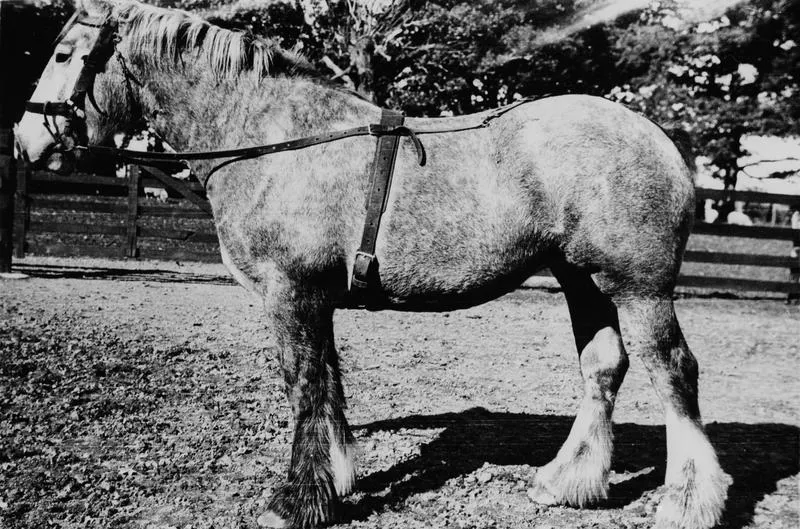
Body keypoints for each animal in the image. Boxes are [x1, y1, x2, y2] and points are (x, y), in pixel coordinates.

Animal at [15, 1, 732, 528]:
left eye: (62, 54)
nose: (24, 142)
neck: (274, 136)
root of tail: (659, 140)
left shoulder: (291, 294)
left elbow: (303, 386)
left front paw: (297, 501)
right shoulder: (316, 298)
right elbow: (328, 384)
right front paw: (336, 480)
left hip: (638, 288)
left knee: (673, 372)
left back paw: (686, 501)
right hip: (582, 280)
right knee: (603, 367)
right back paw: (566, 481)